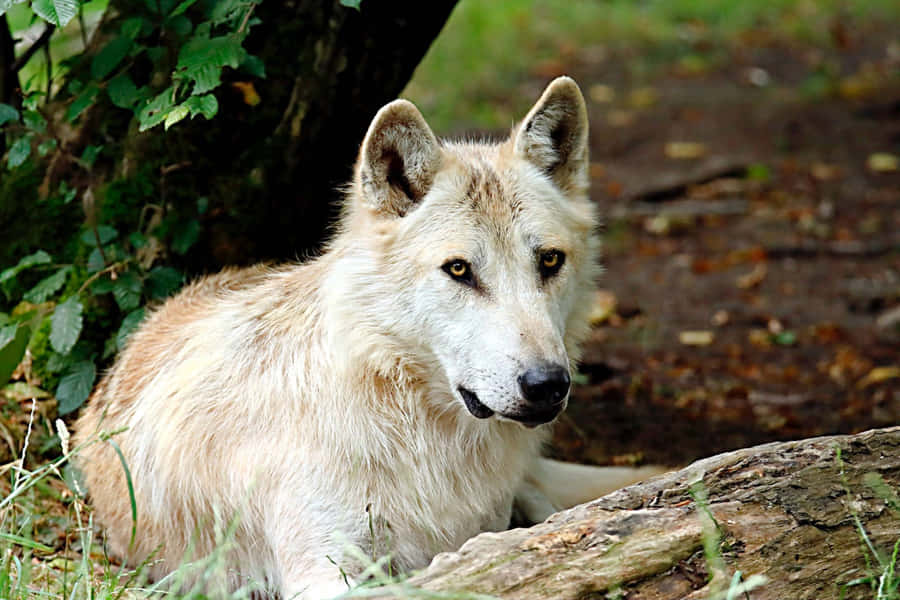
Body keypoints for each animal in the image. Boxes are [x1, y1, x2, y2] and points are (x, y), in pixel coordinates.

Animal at [73, 77, 660, 598]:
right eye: (459, 269)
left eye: (549, 261)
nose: (547, 384)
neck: (416, 428)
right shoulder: (323, 570)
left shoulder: (481, 530)